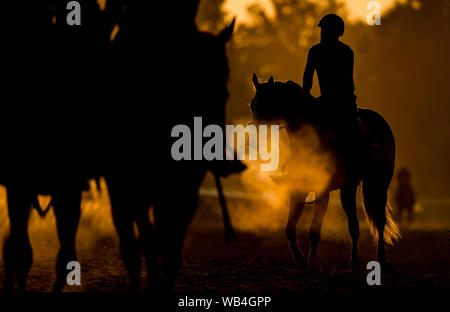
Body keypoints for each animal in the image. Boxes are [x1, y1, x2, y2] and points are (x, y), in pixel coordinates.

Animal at [250, 75, 400, 270]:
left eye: (266, 104)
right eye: (252, 105)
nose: (254, 140)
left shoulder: (322, 192)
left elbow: (314, 231)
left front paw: (312, 263)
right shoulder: (299, 190)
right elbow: (289, 228)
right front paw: (300, 259)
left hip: (378, 183)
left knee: (378, 221)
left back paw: (380, 258)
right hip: (349, 189)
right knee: (354, 225)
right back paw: (354, 262)